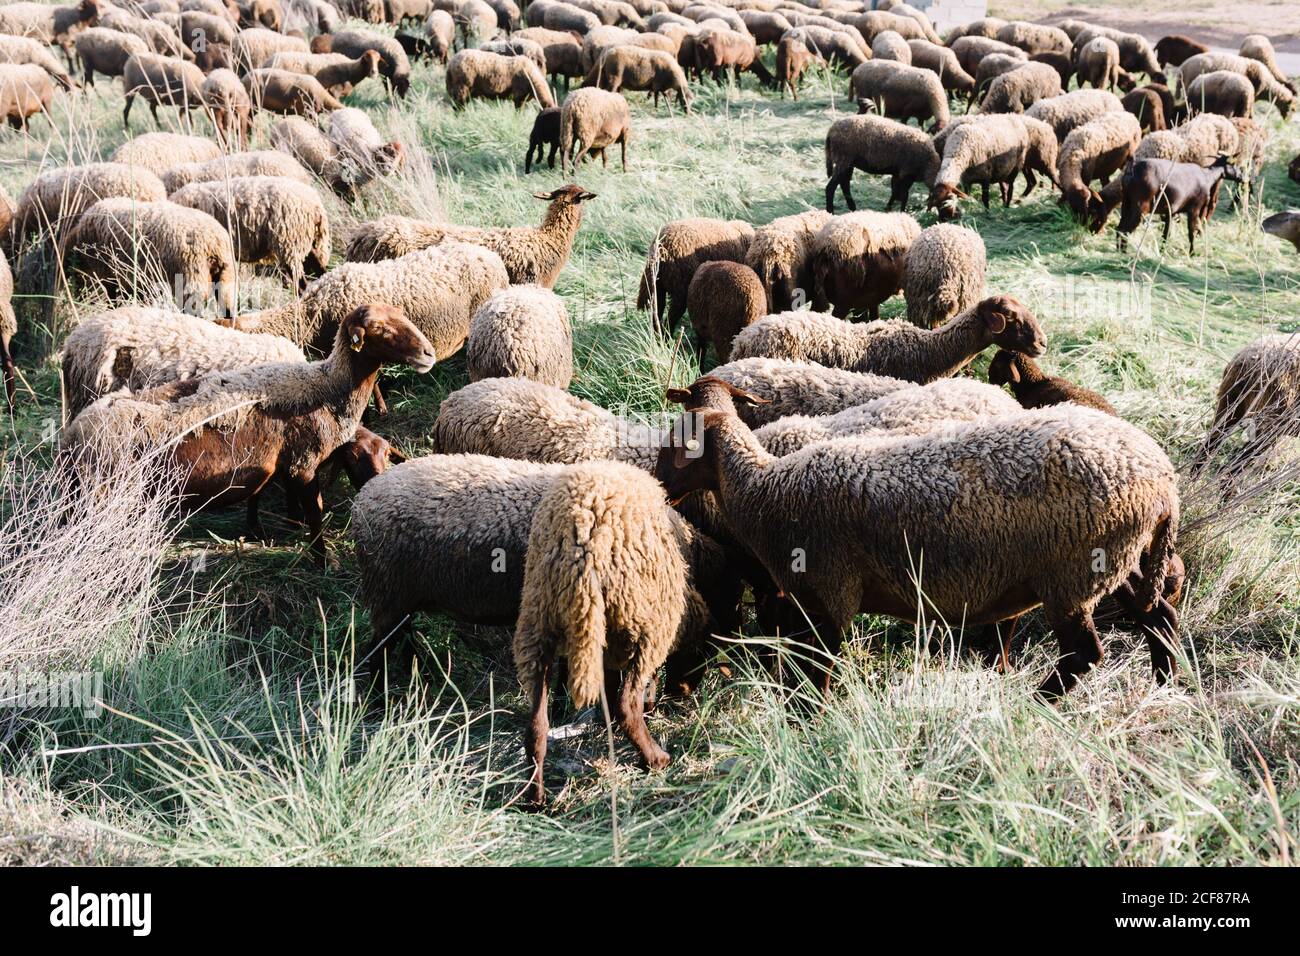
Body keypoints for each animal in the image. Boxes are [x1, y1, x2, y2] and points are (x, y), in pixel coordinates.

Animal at [60, 198, 237, 316]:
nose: (76, 299)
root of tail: (214, 241)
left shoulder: (111, 276)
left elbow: (113, 300)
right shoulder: (132, 280)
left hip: (192, 278)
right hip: (226, 278)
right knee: (229, 311)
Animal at [515, 461, 704, 804]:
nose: (681, 693)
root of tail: (581, 550)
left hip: (537, 625)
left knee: (536, 725)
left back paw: (536, 798)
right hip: (644, 628)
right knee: (626, 706)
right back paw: (656, 759)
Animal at [658, 378, 1183, 696]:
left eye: (678, 441)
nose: (659, 486)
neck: (763, 488)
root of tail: (1164, 480)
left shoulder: (827, 595)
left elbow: (816, 673)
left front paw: (806, 718)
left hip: (1070, 577)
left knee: (1084, 654)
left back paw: (1038, 702)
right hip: (1115, 560)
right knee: (1159, 615)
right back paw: (1166, 682)